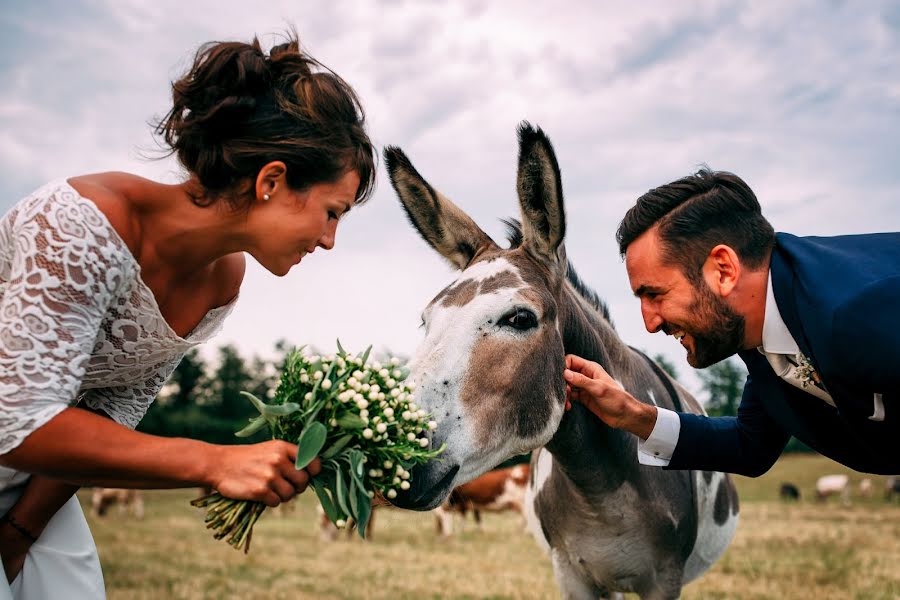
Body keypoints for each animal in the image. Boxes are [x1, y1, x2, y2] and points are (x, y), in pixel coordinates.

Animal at [386, 123, 740, 600]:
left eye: (520, 318)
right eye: (426, 321)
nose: (395, 451)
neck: (600, 490)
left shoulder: (665, 579)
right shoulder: (571, 573)